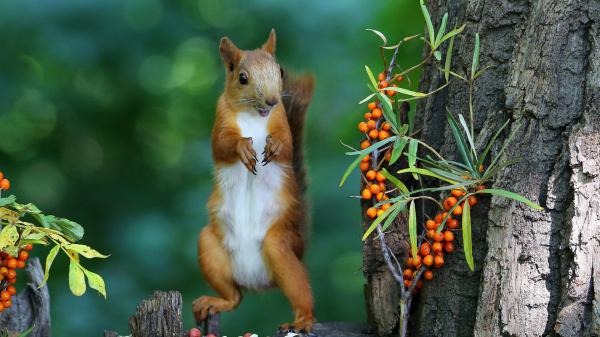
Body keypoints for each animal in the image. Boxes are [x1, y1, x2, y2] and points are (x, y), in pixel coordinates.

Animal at [193, 28, 316, 330]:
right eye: (242, 77)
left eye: (280, 70)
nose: (272, 100)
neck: (254, 117)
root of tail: (258, 282)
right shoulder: (220, 120)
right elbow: (222, 145)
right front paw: (243, 149)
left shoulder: (281, 120)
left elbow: (286, 145)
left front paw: (273, 146)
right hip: (209, 245)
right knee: (235, 297)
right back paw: (216, 301)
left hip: (281, 245)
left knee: (298, 289)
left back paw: (302, 320)